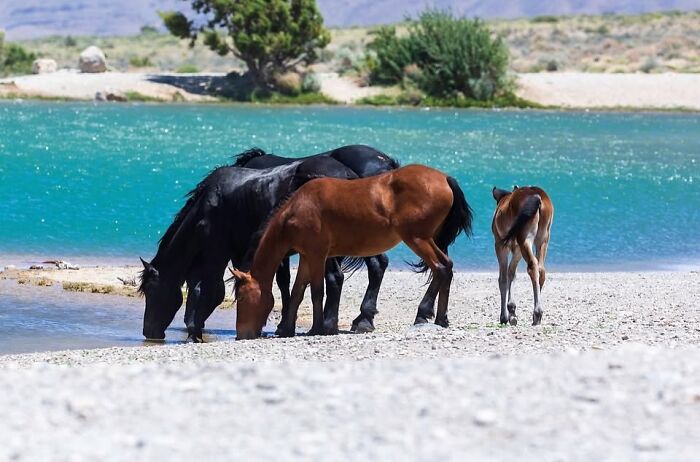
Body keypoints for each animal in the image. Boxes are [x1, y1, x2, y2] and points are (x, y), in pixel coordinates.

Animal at [230, 164, 473, 340]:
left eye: (241, 296)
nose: (241, 335)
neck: (297, 208)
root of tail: (445, 178)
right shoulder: (307, 256)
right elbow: (298, 292)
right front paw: (287, 330)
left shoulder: (317, 254)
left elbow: (317, 291)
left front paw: (316, 328)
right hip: (427, 240)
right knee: (447, 267)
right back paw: (441, 319)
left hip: (417, 239)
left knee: (440, 268)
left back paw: (422, 315)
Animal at [491, 186, 554, 326]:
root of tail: (537, 196)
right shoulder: (517, 250)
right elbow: (512, 273)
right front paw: (512, 312)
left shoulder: (500, 245)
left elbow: (503, 278)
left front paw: (505, 316)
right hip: (542, 239)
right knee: (541, 269)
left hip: (525, 238)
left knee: (532, 266)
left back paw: (537, 313)